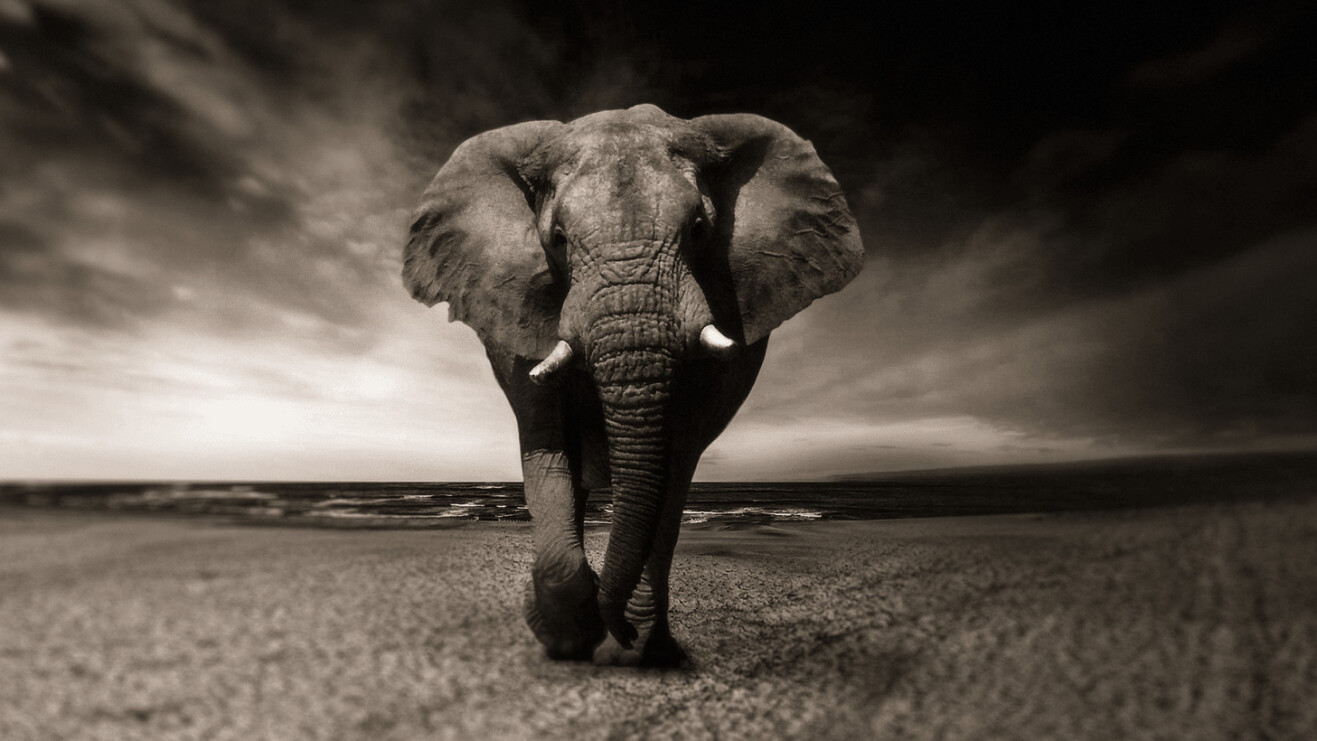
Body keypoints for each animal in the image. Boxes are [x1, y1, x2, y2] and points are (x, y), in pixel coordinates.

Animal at [403, 104, 863, 666]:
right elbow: (547, 444)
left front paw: (632, 646)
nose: (615, 626)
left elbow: (675, 458)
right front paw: (568, 637)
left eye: (699, 229)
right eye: (557, 239)